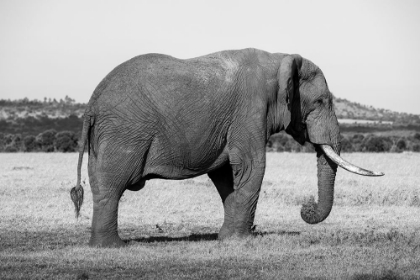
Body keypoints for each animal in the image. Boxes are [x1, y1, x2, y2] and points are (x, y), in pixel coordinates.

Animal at [69, 47, 384, 247]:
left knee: (101, 185)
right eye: (320, 101)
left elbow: (225, 175)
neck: (278, 59)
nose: (305, 209)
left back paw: (102, 246)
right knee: (112, 186)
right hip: (124, 132)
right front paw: (240, 241)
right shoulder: (250, 110)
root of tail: (92, 101)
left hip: (108, 135)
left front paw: (226, 238)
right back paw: (113, 247)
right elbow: (251, 166)